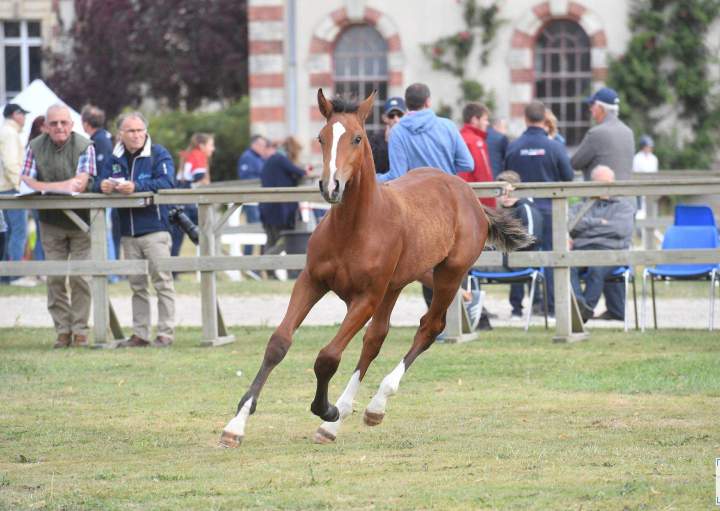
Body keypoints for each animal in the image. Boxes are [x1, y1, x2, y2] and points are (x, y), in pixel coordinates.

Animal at [219, 89, 532, 447]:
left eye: (357, 138)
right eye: (321, 137)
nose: (331, 186)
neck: (354, 227)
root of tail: (470, 197)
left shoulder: (366, 297)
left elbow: (328, 356)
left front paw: (326, 409)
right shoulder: (311, 281)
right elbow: (279, 343)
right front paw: (236, 425)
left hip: (448, 275)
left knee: (429, 327)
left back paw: (371, 406)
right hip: (400, 283)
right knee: (375, 338)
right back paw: (340, 419)